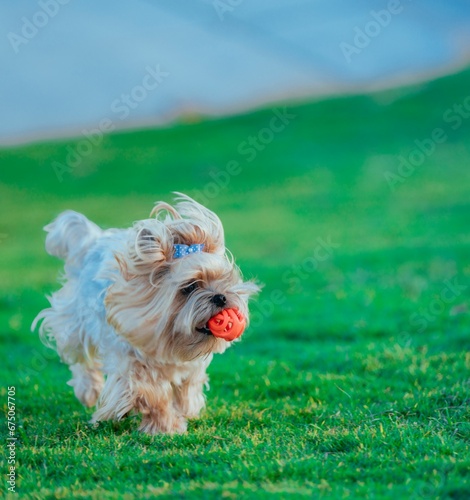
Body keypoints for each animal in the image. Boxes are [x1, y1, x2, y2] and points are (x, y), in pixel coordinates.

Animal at [32, 195, 260, 434]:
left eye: (222, 280)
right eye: (189, 287)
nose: (220, 297)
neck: (170, 340)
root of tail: (93, 242)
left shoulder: (190, 366)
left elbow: (188, 387)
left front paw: (184, 410)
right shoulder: (131, 360)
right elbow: (151, 393)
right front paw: (165, 426)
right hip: (76, 321)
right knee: (80, 359)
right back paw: (89, 391)